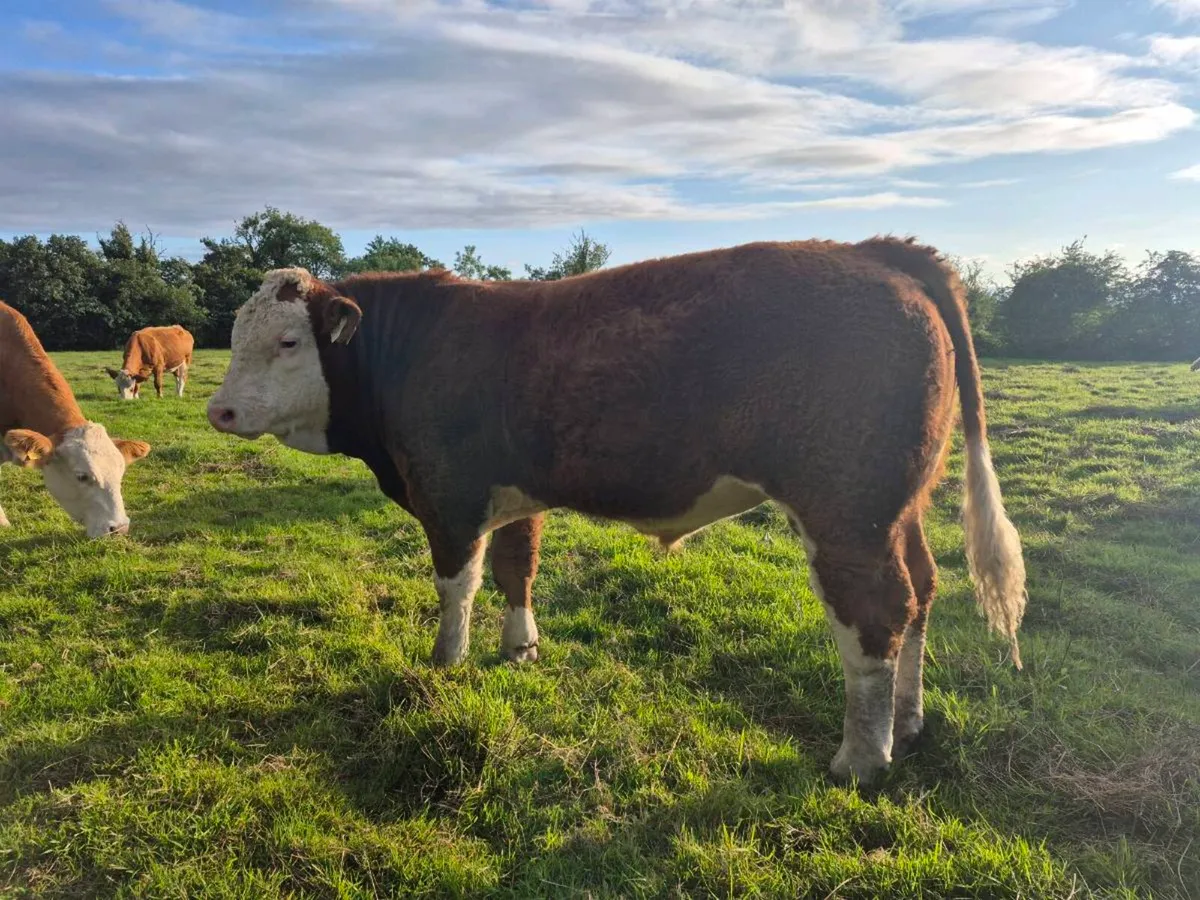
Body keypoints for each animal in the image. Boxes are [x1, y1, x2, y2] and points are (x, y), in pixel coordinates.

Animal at [205, 237, 1027, 784]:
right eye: (234, 336)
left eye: (288, 341)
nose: (219, 410)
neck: (409, 349)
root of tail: (878, 252)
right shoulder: (515, 493)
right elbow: (517, 569)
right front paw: (520, 648)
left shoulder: (448, 493)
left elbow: (456, 585)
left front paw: (445, 663)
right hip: (897, 507)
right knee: (922, 590)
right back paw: (909, 719)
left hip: (845, 510)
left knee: (877, 615)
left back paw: (860, 758)